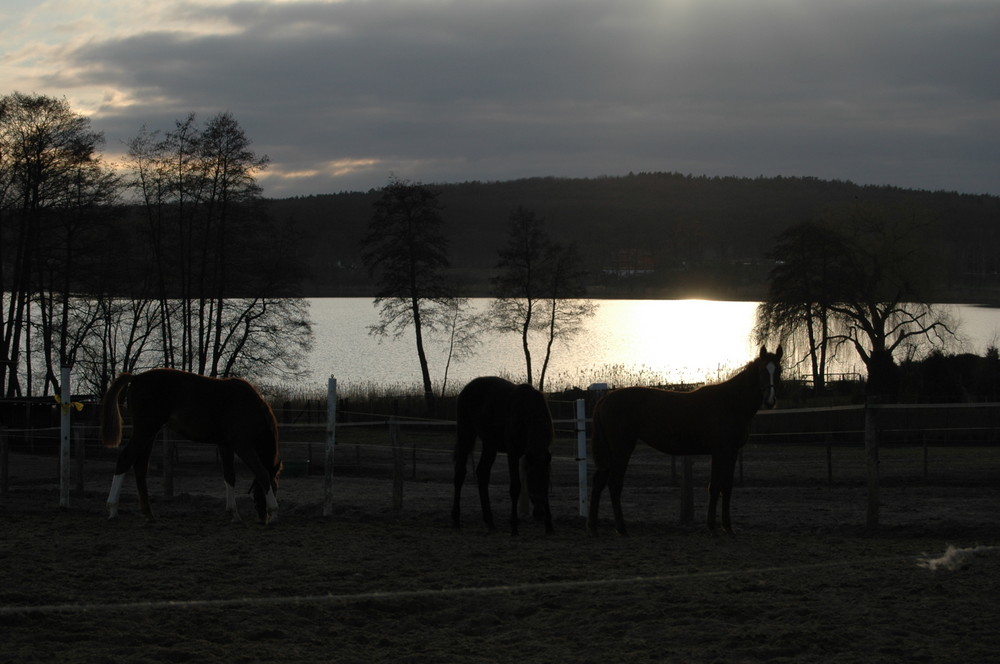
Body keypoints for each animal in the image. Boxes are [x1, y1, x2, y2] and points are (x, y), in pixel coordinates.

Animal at [101, 368, 280, 524]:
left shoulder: (225, 445)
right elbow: (262, 473)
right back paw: (113, 510)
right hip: (145, 430)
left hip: (149, 434)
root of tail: (136, 378)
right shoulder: (242, 445)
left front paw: (234, 514)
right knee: (125, 459)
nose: (262, 518)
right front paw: (273, 512)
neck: (247, 406)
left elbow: (230, 477)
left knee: (140, 466)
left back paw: (148, 513)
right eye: (275, 487)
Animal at [454, 376, 556, 536]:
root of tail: (466, 389)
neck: (528, 412)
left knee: (482, 473)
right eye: (530, 478)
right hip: (466, 435)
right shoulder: (513, 453)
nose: (539, 513)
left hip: (490, 444)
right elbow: (515, 488)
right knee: (460, 473)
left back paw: (490, 522)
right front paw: (514, 526)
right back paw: (456, 520)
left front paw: (549, 525)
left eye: (545, 480)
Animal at [584, 344, 780, 536]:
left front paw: (727, 526)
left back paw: (593, 527)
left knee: (599, 481)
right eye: (762, 370)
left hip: (611, 453)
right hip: (621, 450)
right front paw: (712, 526)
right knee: (614, 484)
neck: (730, 403)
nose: (770, 401)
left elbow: (726, 487)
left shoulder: (730, 453)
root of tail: (604, 400)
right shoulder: (721, 452)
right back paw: (621, 528)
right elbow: (715, 486)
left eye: (778, 370)